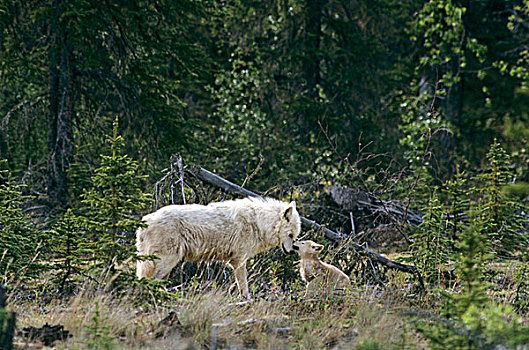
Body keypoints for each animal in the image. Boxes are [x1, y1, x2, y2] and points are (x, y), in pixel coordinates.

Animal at [136, 197, 300, 298]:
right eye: (291, 235)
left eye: (295, 236)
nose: (292, 251)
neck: (258, 223)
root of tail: (144, 223)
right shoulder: (239, 260)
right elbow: (244, 285)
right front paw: (246, 300)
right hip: (167, 261)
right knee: (151, 281)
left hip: (167, 266)